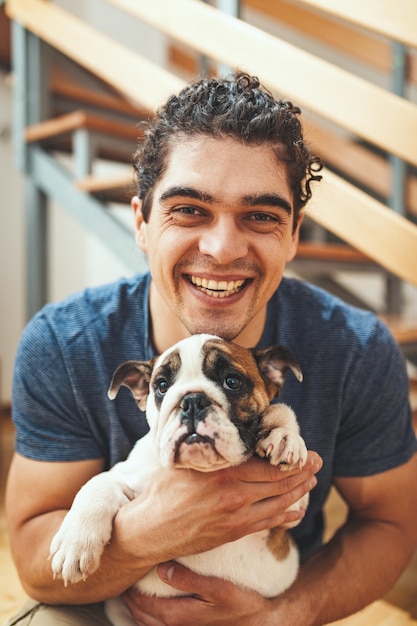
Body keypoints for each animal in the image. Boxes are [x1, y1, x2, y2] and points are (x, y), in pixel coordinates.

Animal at [49, 334, 308, 620]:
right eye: (161, 386)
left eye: (232, 382)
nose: (192, 400)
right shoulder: (127, 476)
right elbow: (97, 485)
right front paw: (75, 543)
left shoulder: (290, 510)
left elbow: (282, 410)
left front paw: (283, 435)